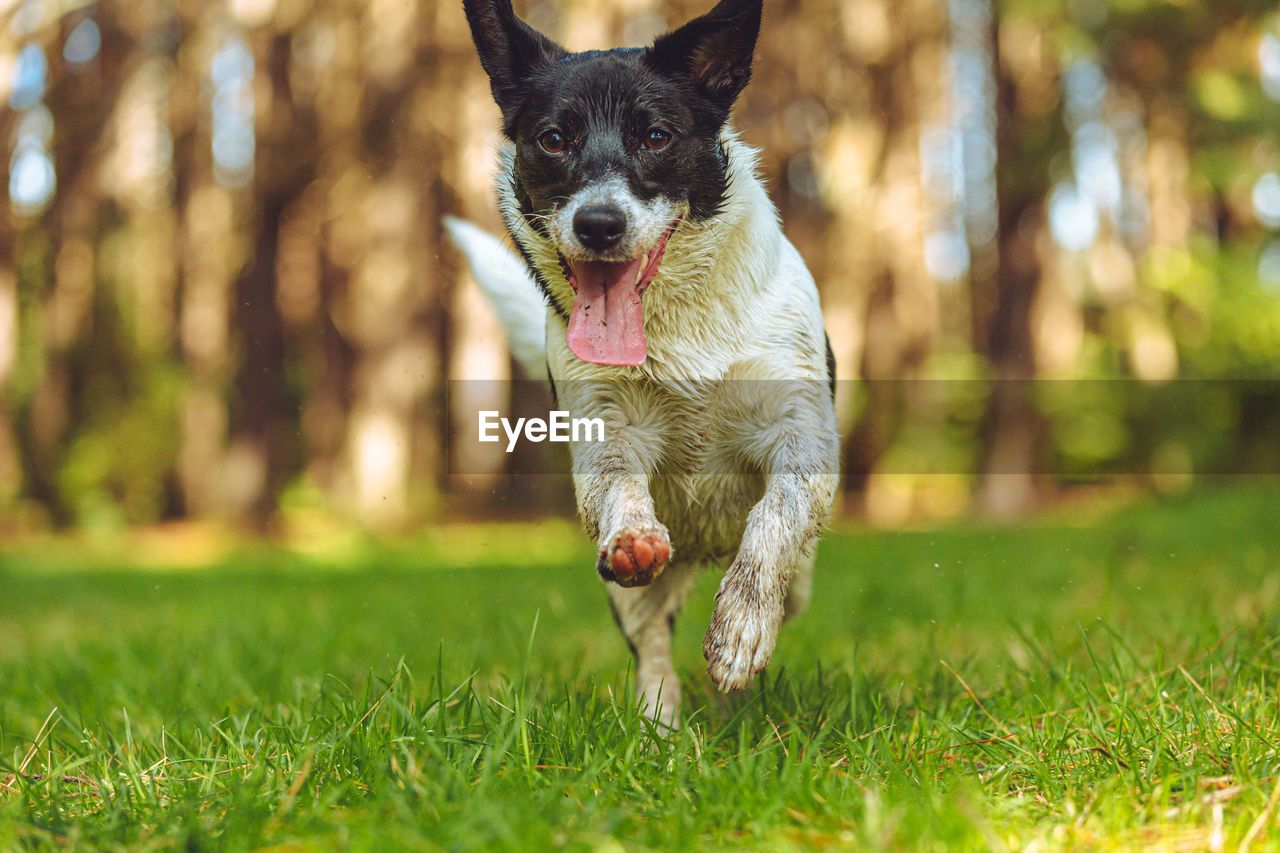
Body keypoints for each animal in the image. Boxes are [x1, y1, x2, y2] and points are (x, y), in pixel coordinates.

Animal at [448, 0, 839, 722]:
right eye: (553, 139)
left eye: (656, 136)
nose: (599, 223)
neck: (675, 325)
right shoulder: (604, 432)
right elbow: (619, 485)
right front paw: (633, 534)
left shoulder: (800, 434)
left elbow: (778, 516)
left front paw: (743, 626)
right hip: (632, 598)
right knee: (652, 642)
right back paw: (658, 726)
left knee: (794, 575)